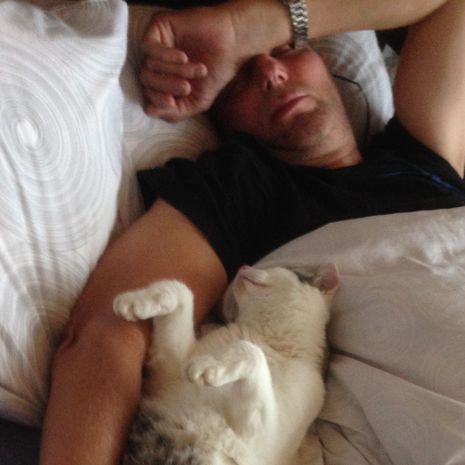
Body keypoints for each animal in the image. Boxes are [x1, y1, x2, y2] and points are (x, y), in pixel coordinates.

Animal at [113, 263, 339, 465]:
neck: (266, 340)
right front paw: (136, 301)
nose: (243, 266)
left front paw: (210, 365)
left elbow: (252, 351)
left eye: (283, 266)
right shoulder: (166, 373)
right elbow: (181, 290)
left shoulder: (255, 446)